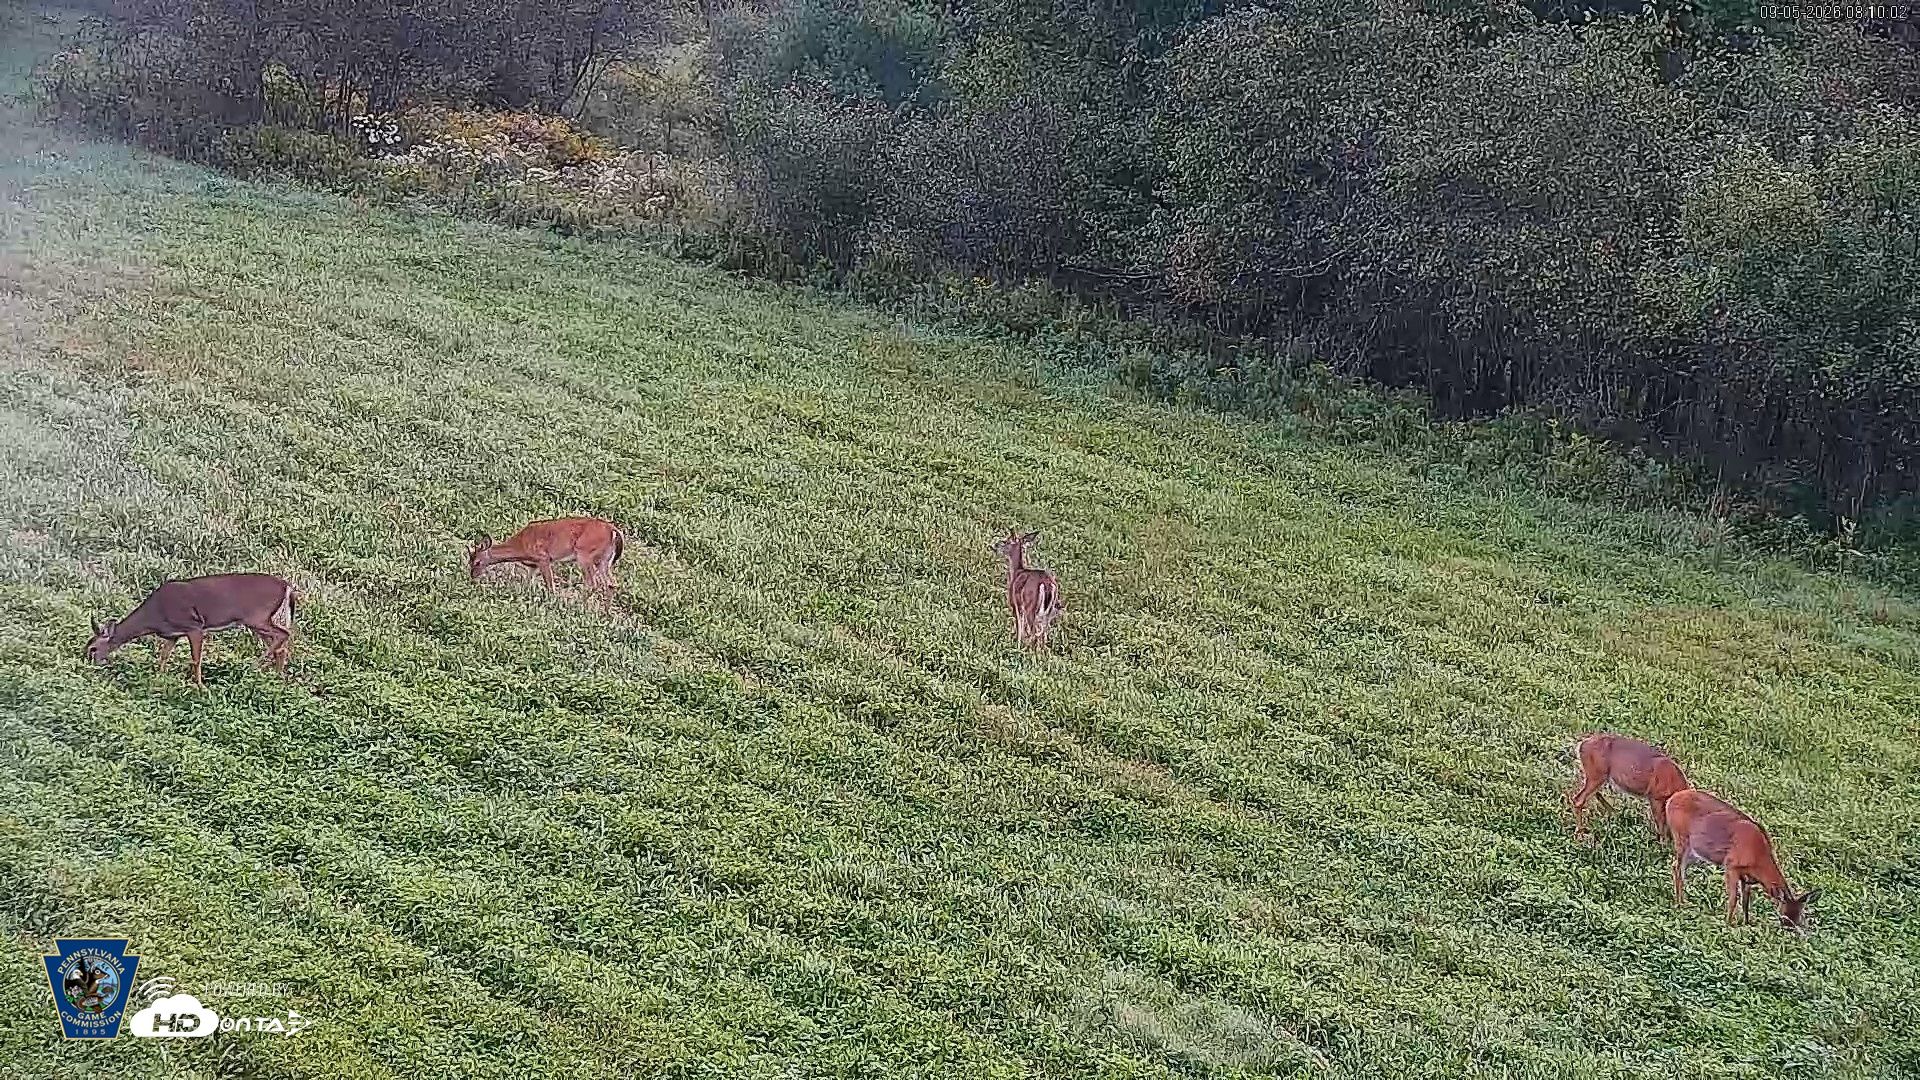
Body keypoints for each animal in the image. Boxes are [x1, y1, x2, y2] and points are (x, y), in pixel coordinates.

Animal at [84, 573, 296, 687]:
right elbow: (164, 656)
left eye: (93, 649)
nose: (89, 664)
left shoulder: (194, 626)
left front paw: (200, 687)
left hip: (257, 617)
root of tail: (287, 586)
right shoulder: (173, 635)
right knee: (279, 643)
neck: (154, 615)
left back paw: (253, 667)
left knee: (284, 634)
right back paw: (276, 677)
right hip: (258, 621)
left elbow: (196, 659)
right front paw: (159, 678)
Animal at [468, 516, 624, 605]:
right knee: (611, 584)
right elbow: (527, 582)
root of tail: (613, 531)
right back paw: (607, 615)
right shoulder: (533, 565)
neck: (520, 546)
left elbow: (550, 586)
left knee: (592, 584)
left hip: (584, 554)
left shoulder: (543, 557)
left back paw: (579, 605)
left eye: (477, 562)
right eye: (469, 562)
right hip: (604, 560)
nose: (472, 576)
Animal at [1667, 787, 1821, 932]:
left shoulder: (1747, 878)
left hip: (1695, 852)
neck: (1758, 857)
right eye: (1784, 917)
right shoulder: (1731, 866)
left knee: (1678, 868)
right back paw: (1679, 904)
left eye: (1800, 917)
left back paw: (1683, 902)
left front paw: (1747, 923)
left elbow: (1746, 902)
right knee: (1677, 868)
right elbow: (1733, 899)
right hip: (1681, 838)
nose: (1790, 930)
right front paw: (1728, 924)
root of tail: (1671, 800)